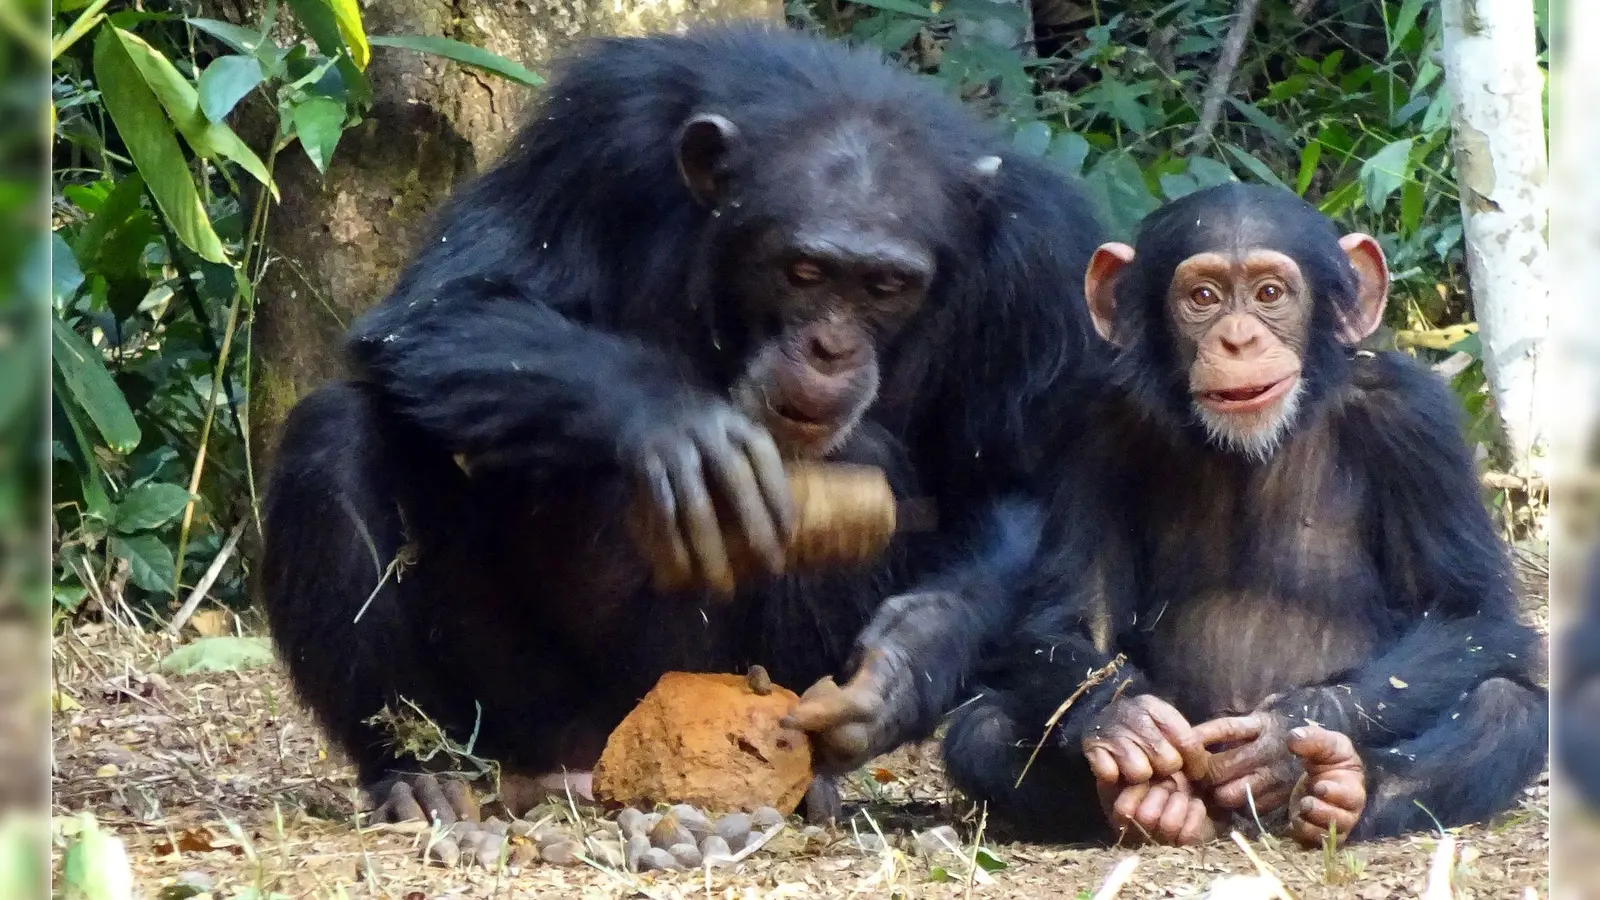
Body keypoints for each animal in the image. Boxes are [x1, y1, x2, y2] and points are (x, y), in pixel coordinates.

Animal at [265, 22, 1113, 819]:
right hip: (516, 709)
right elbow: (445, 305)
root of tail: (595, 761)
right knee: (335, 433)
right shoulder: (596, 133)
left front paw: (905, 663)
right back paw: (416, 772)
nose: (830, 348)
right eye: (804, 270)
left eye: (885, 286)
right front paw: (675, 424)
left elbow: (1018, 485)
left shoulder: (1039, 258)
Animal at [940, 180, 1542, 839]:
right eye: (1202, 297)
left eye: (1269, 293)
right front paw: (1125, 718)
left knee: (1505, 706)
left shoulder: (1415, 418)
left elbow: (1466, 610)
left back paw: (1344, 788)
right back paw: (1149, 805)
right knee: (981, 727)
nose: (1238, 339)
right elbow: (1071, 614)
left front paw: (1285, 732)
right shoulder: (1092, 424)